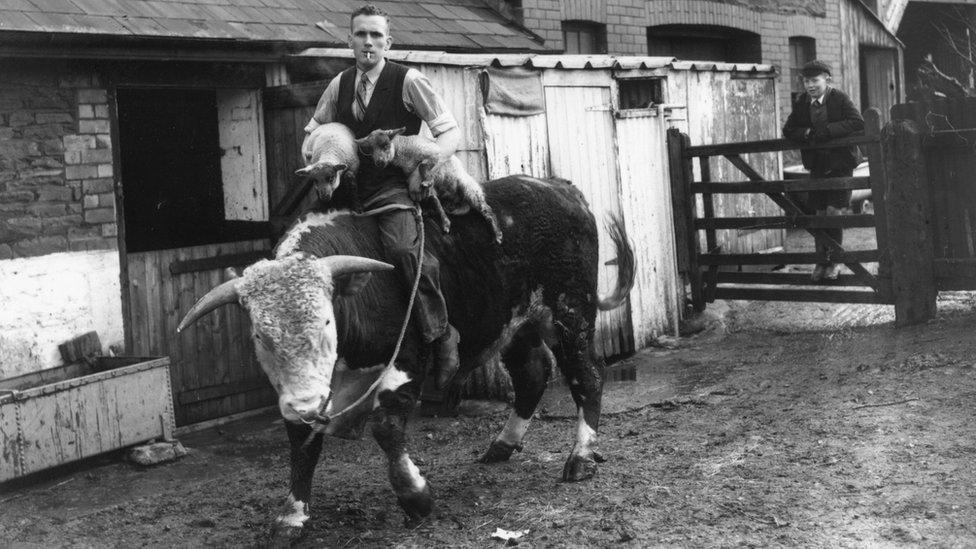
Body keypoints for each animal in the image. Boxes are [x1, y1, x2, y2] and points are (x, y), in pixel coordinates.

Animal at [178, 174, 636, 540]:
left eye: (326, 321)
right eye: (260, 333)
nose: (306, 403)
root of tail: (560, 188)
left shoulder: (405, 362)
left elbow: (386, 427)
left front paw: (416, 498)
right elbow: (302, 444)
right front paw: (292, 516)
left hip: (570, 312)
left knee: (586, 377)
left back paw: (580, 458)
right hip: (515, 323)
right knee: (532, 375)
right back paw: (502, 445)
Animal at [354, 127, 504, 243]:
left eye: (385, 145)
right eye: (370, 150)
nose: (379, 163)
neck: (403, 150)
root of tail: (462, 203)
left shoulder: (434, 154)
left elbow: (423, 166)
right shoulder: (417, 180)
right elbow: (433, 197)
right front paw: (445, 222)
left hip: (469, 189)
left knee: (487, 210)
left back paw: (497, 234)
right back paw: (431, 211)